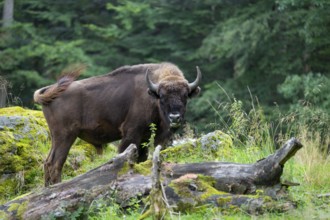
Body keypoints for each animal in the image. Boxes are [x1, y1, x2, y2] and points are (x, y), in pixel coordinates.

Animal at [34, 62, 202, 186]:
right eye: (161, 96)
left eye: (185, 96)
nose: (174, 117)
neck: (150, 95)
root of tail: (50, 90)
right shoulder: (131, 133)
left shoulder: (150, 137)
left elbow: (142, 159)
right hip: (65, 136)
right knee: (55, 164)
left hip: (57, 137)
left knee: (48, 163)